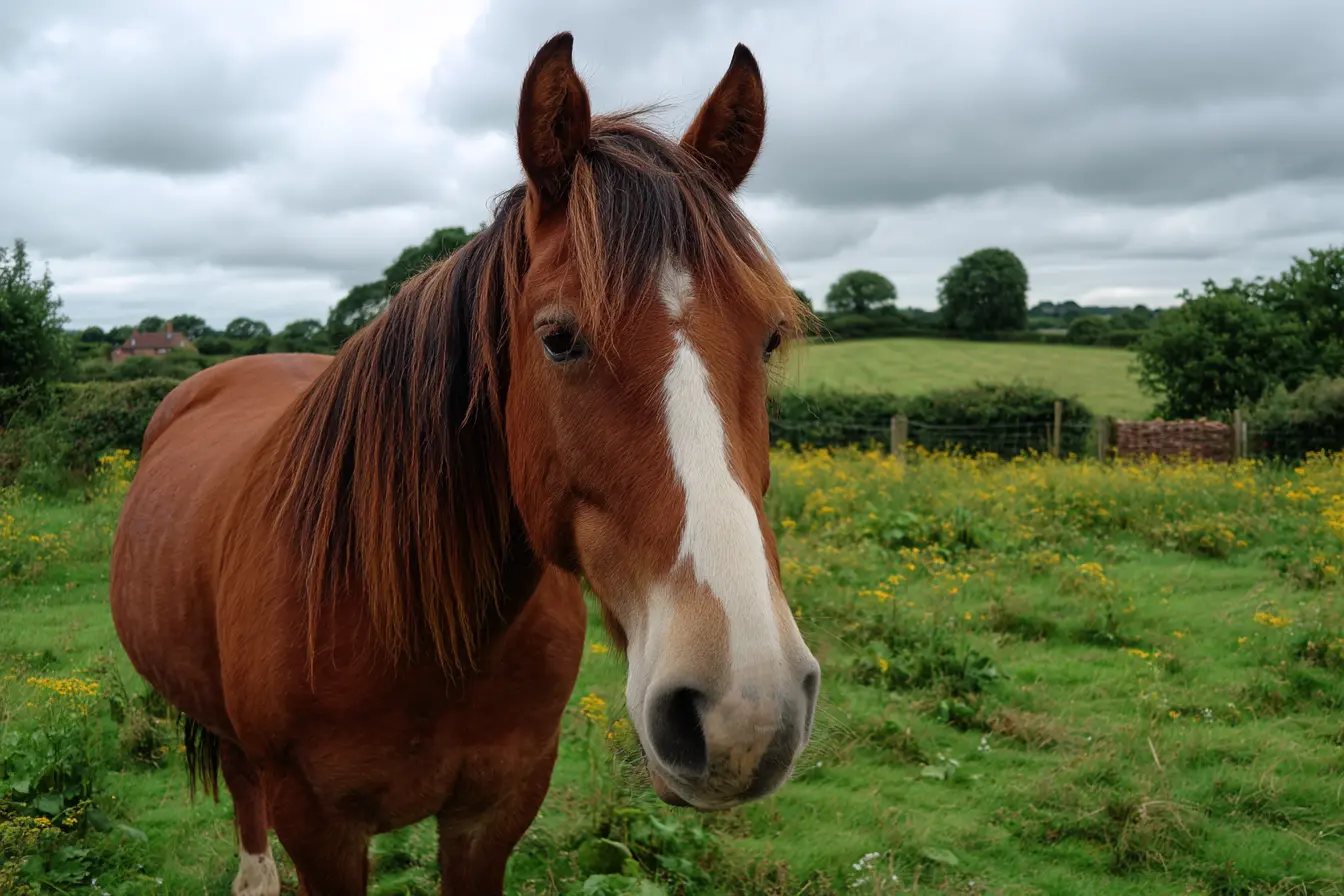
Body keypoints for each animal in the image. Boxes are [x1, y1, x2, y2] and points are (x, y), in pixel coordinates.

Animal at [109, 31, 821, 895]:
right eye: (559, 338)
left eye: (770, 337)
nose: (744, 707)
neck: (414, 633)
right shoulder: (319, 830)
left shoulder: (494, 812)